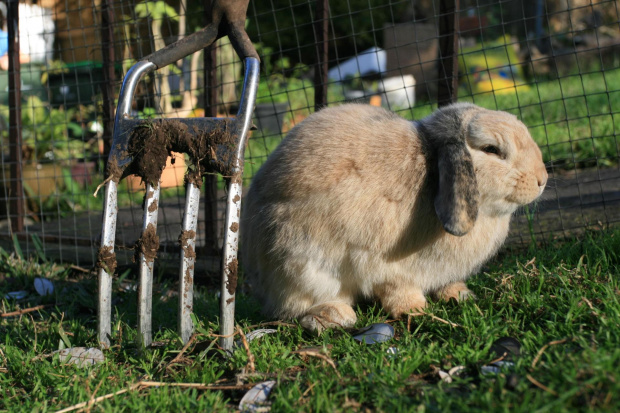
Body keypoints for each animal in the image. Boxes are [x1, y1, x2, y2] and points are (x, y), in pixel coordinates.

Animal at [241, 103, 548, 332]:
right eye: (492, 150)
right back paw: (334, 315)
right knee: (296, 308)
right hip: (302, 265)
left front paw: (459, 295)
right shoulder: (385, 266)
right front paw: (415, 309)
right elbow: (397, 288)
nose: (542, 180)